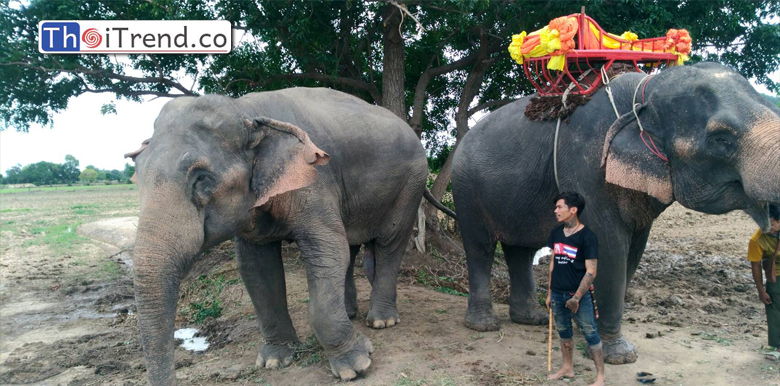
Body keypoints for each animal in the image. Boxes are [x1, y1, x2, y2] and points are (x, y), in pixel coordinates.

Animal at [123, 88, 450, 386]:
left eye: (202, 178)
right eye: (137, 175)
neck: (245, 110)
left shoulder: (314, 177)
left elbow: (327, 250)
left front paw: (357, 365)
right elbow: (256, 267)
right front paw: (275, 361)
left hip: (410, 184)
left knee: (388, 244)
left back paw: (382, 321)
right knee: (351, 247)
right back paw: (349, 313)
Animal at [450, 61, 780, 364]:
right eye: (721, 139)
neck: (646, 92)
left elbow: (631, 254)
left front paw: (590, 333)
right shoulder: (587, 167)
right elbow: (609, 249)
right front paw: (620, 356)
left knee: (519, 250)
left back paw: (533, 319)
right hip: (466, 190)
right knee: (480, 248)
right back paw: (484, 326)